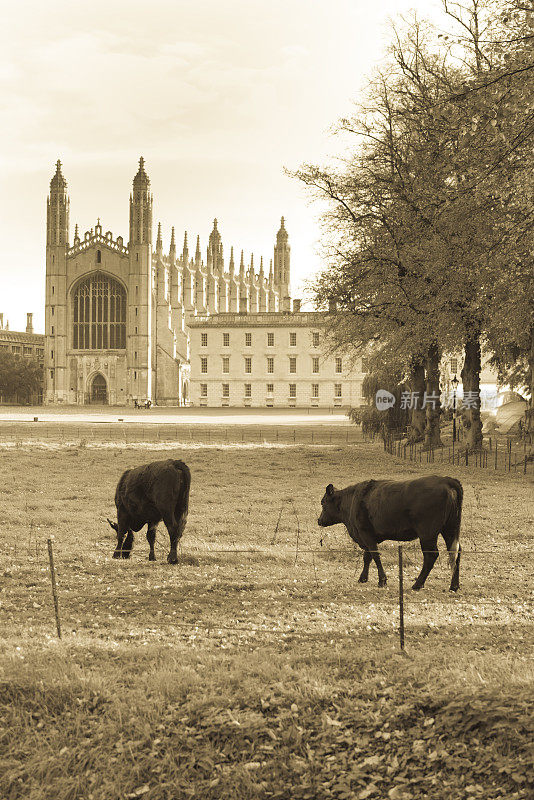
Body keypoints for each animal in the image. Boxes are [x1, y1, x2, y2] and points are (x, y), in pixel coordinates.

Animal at [318, 476, 464, 592]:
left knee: (431, 556)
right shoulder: (367, 536)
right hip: (450, 530)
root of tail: (446, 480)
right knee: (455, 553)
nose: (319, 520)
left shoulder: (365, 533)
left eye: (323, 502)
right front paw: (363, 578)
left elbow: (375, 555)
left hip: (427, 533)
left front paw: (382, 580)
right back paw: (454, 586)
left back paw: (417, 584)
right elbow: (367, 557)